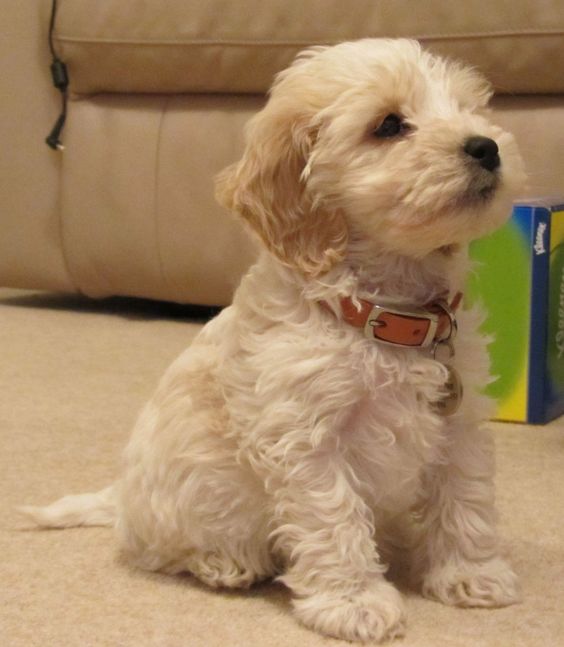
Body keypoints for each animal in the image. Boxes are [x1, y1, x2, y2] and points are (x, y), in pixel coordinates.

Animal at [22, 39, 524, 644]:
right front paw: (353, 600)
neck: (385, 315)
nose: (486, 146)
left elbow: (466, 499)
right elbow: (334, 520)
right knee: (161, 553)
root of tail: (120, 500)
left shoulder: (461, 423)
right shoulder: (307, 439)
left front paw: (470, 573)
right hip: (178, 517)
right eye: (388, 125)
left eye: (470, 109)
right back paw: (225, 563)